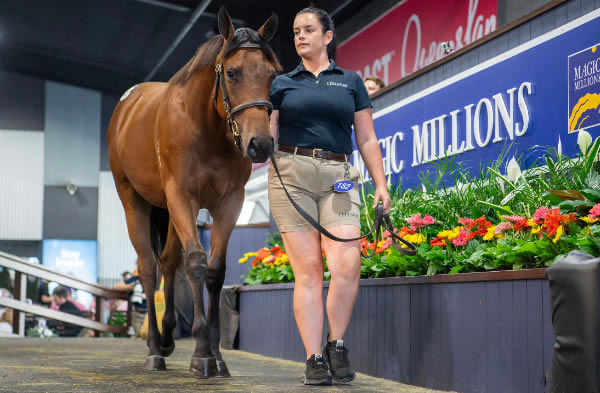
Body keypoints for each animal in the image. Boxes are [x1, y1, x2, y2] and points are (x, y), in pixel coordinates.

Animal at [106, 8, 282, 376]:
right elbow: (197, 264)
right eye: (232, 72)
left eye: (272, 75)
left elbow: (214, 271)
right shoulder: (182, 197)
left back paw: (168, 337)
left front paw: (216, 354)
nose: (260, 144)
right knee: (149, 267)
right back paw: (154, 349)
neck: (205, 126)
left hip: (169, 210)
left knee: (169, 262)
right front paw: (201, 352)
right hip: (135, 200)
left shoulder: (230, 203)